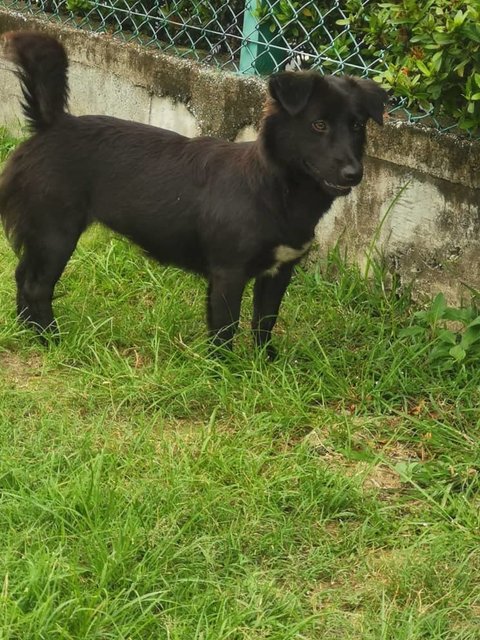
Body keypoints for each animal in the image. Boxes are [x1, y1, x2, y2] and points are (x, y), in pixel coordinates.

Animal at [0, 31, 386, 356]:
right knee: (36, 286)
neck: (275, 188)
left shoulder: (278, 272)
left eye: (357, 126)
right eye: (318, 125)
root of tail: (52, 124)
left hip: (43, 236)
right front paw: (225, 370)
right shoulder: (229, 273)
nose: (355, 174)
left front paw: (265, 363)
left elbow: (264, 322)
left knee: (22, 276)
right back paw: (51, 339)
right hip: (56, 234)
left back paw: (26, 331)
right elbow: (226, 327)